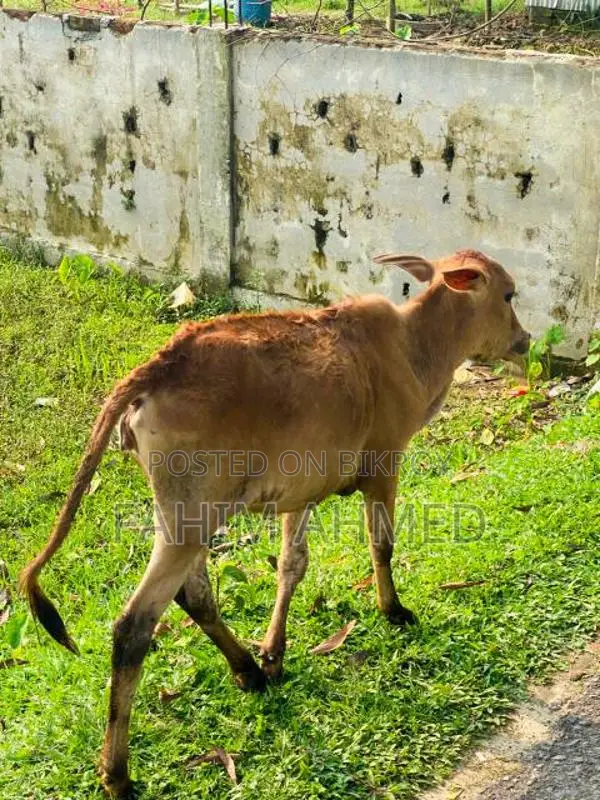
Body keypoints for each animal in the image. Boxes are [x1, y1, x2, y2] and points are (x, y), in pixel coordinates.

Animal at [20, 249, 530, 797]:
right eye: (508, 295)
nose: (524, 340)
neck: (413, 347)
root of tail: (157, 368)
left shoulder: (299, 493)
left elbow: (291, 565)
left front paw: (273, 654)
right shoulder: (384, 466)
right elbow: (382, 545)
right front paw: (393, 610)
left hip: (185, 517)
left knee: (194, 596)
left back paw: (247, 670)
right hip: (191, 520)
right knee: (134, 626)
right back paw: (117, 772)